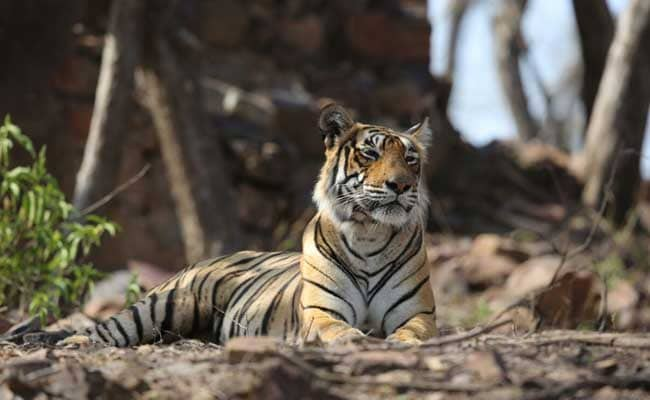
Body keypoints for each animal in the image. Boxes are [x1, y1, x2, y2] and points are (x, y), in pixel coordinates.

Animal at [55, 104, 436, 346]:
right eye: (370, 154)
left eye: (410, 159)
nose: (400, 185)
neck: (369, 234)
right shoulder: (321, 311)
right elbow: (336, 329)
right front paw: (355, 338)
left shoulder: (419, 312)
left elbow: (415, 331)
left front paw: (400, 342)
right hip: (163, 303)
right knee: (109, 328)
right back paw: (75, 344)